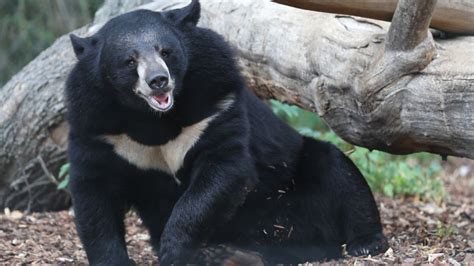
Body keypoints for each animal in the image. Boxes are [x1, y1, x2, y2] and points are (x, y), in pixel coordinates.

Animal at [65, 0, 386, 264]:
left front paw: (173, 249)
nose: (158, 81)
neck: (154, 119)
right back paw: (226, 254)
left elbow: (222, 168)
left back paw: (364, 243)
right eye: (129, 61)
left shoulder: (215, 103)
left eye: (165, 52)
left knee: (340, 173)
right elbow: (95, 191)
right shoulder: (97, 127)